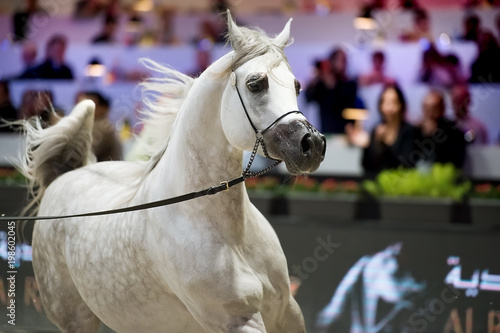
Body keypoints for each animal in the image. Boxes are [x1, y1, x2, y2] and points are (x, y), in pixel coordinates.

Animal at [23, 11, 326, 330]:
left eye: (297, 86)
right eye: (256, 84)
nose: (312, 144)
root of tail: (64, 176)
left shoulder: (286, 311)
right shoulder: (237, 319)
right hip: (75, 319)